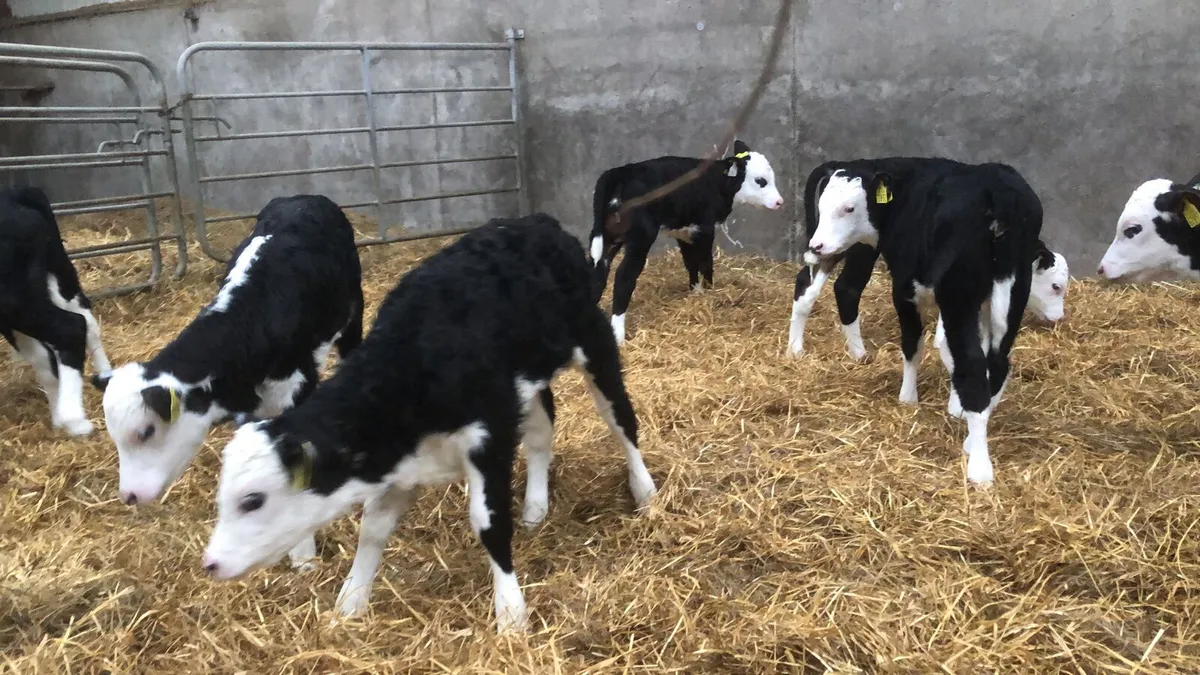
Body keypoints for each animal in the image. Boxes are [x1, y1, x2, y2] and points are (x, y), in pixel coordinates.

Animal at [98, 194, 363, 572]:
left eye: (146, 431)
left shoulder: (297, 387)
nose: (129, 496)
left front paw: (302, 556)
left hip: (353, 315)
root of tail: (303, 199)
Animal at [200, 213, 657, 634]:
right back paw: (535, 507)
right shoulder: (401, 462)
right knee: (542, 432)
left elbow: (490, 524)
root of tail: (537, 222)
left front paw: (511, 616)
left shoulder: (487, 438)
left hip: (594, 345)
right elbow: (373, 528)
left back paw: (645, 491)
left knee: (621, 420)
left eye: (253, 499)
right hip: (529, 385)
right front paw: (350, 603)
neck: (412, 366)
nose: (211, 563)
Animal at [588, 140, 784, 344]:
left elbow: (690, 263)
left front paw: (696, 292)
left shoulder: (684, 232)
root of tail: (619, 173)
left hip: (605, 239)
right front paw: (709, 291)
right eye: (760, 181)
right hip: (640, 239)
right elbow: (706, 262)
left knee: (597, 273)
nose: (779, 201)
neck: (717, 183)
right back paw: (618, 334)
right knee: (624, 277)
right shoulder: (705, 229)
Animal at [802, 158, 1044, 487]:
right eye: (822, 203)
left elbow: (912, 345)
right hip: (1014, 292)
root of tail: (998, 191)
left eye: (849, 208)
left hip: (958, 295)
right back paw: (971, 440)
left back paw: (980, 469)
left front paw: (908, 398)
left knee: (972, 366)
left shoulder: (905, 289)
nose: (817, 245)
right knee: (997, 361)